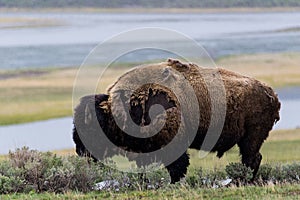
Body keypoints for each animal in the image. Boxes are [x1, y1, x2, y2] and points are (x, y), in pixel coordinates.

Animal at [73, 57, 282, 183]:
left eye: (93, 125)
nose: (80, 150)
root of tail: (271, 93)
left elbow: (177, 166)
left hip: (251, 137)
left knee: (251, 158)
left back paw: (241, 181)